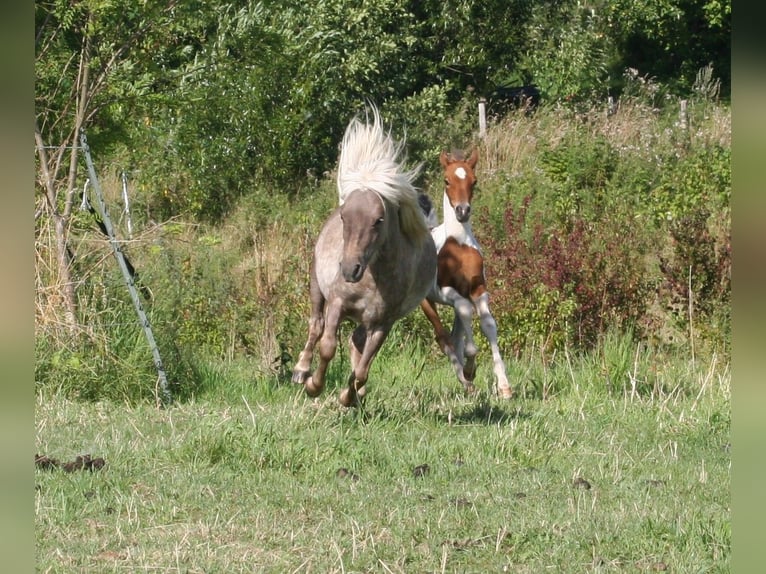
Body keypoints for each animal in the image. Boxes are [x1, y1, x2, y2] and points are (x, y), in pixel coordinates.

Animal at [424, 150, 512, 400]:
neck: (459, 245)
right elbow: (465, 315)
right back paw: (465, 379)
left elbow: (489, 325)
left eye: (474, 181)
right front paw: (470, 370)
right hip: (425, 301)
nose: (462, 211)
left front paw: (504, 386)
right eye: (446, 180)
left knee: (455, 335)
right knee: (443, 338)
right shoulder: (445, 291)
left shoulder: (478, 289)